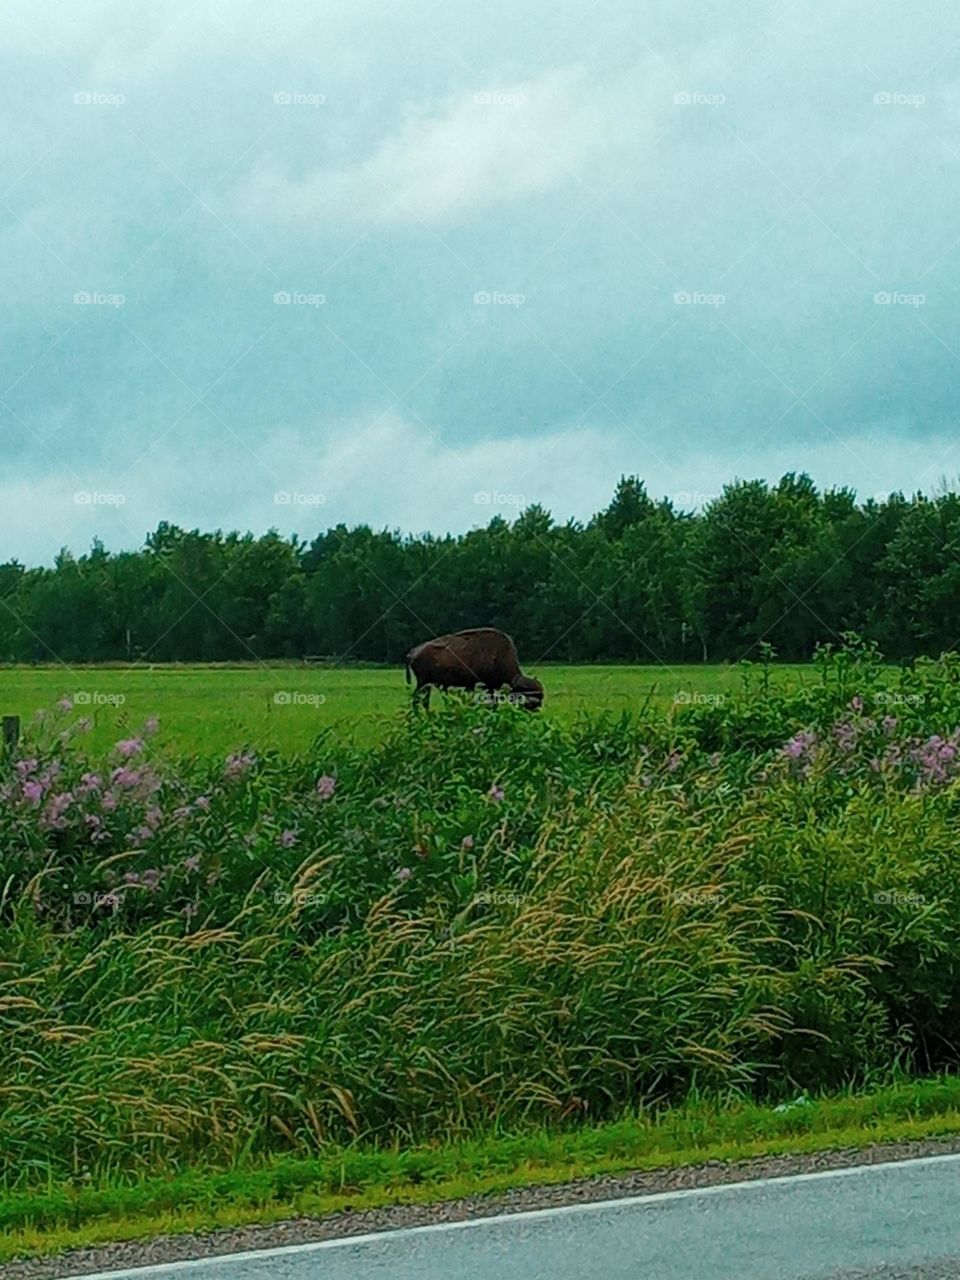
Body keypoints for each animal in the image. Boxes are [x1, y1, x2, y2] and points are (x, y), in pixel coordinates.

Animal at [405, 627, 544, 711]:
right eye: (531, 697)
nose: (537, 709)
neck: (498, 655)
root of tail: (413, 652)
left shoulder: (487, 686)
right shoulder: (487, 685)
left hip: (426, 684)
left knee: (423, 700)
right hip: (423, 682)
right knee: (416, 698)